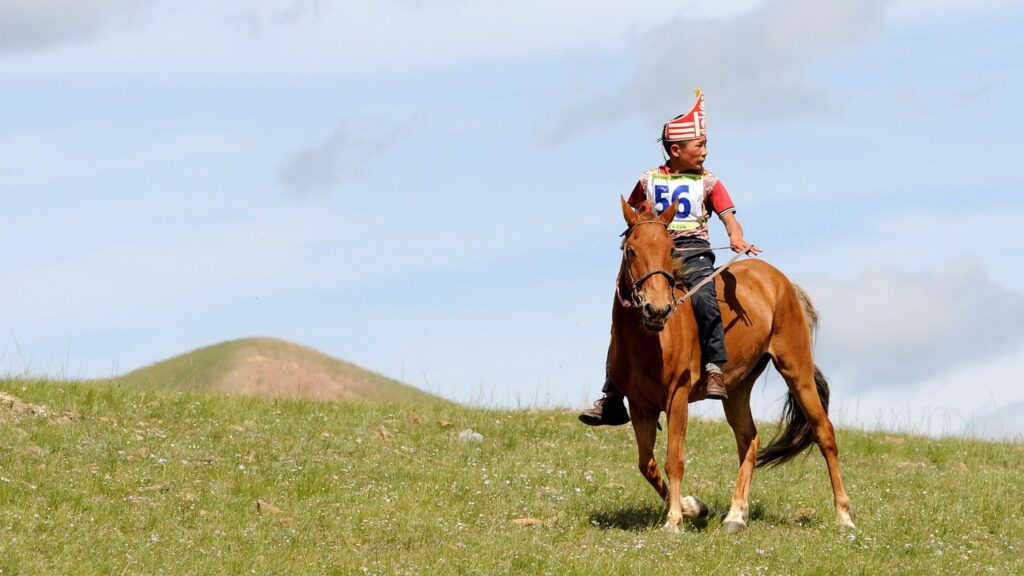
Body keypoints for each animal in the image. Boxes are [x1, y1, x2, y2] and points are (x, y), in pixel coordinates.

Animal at [610, 197, 855, 532]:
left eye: (670, 250)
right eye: (631, 250)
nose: (657, 309)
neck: (650, 342)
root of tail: (783, 282)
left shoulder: (678, 396)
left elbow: (674, 459)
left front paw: (674, 520)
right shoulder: (639, 405)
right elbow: (647, 464)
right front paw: (692, 507)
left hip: (796, 368)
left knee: (824, 432)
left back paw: (844, 516)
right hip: (736, 387)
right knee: (749, 439)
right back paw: (735, 515)